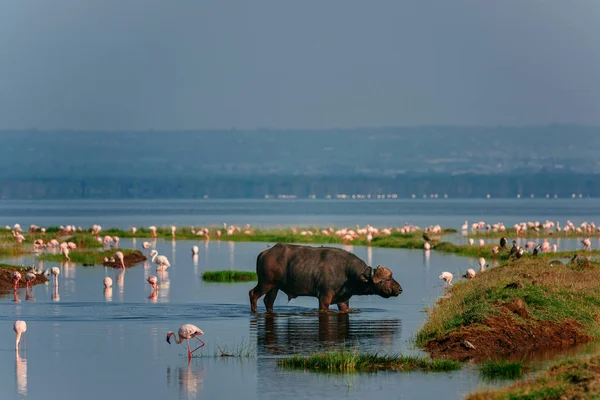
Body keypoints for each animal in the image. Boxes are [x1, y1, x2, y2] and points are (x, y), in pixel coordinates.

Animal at [248, 244, 404, 312]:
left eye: (391, 277)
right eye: (386, 279)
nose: (400, 289)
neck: (348, 274)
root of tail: (265, 253)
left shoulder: (343, 299)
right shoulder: (324, 296)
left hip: (274, 287)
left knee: (269, 301)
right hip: (266, 283)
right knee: (253, 294)